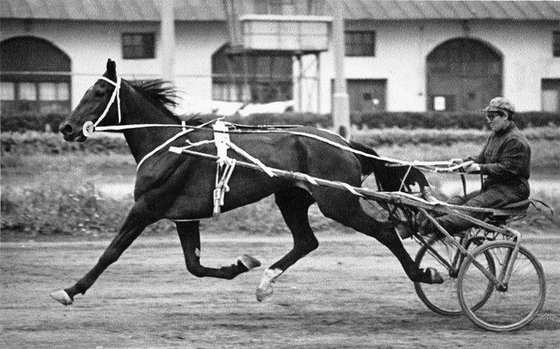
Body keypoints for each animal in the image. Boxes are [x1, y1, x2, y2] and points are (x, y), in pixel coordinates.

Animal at [51, 59, 442, 304]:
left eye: (98, 93)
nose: (66, 128)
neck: (169, 146)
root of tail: (344, 142)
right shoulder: (184, 216)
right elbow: (194, 266)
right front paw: (240, 264)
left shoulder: (146, 207)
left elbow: (111, 252)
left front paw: (70, 289)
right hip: (291, 198)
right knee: (306, 241)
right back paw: (265, 282)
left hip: (338, 202)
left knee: (385, 232)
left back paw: (423, 274)